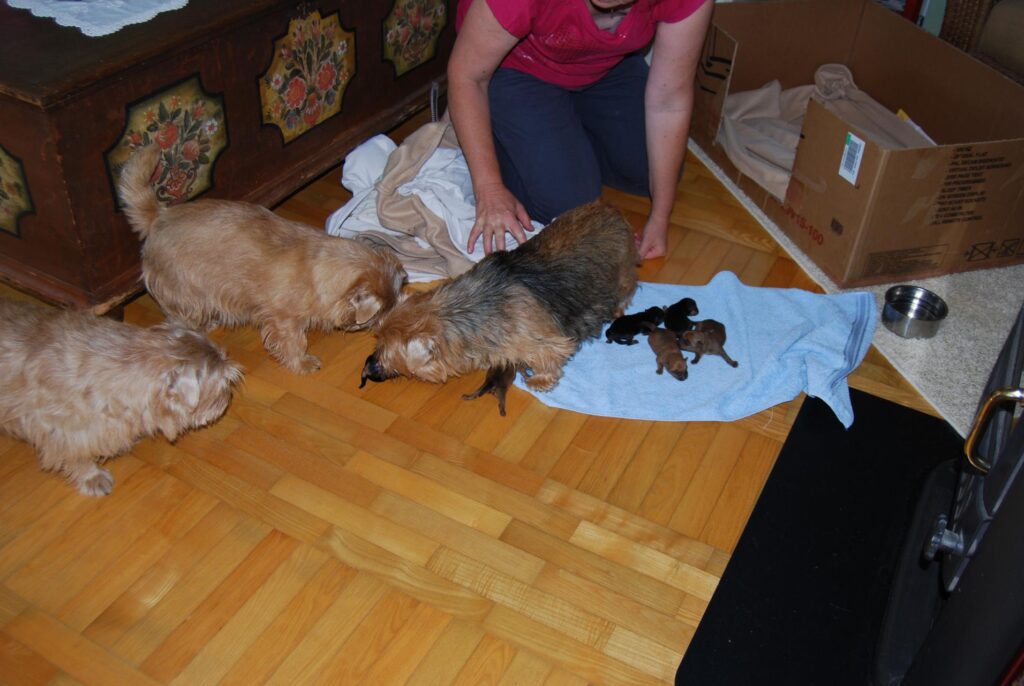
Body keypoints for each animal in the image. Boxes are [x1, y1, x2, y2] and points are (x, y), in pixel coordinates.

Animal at [118, 144, 407, 374]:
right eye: (378, 315)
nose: (383, 326)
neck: (320, 269)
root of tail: (157, 217)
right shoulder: (284, 319)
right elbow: (293, 342)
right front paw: (303, 363)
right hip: (185, 291)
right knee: (181, 317)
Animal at [361, 201, 639, 392]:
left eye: (387, 352)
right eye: (378, 341)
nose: (371, 363)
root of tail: (612, 209)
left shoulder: (547, 342)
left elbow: (548, 358)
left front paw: (540, 380)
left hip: (623, 272)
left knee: (626, 289)